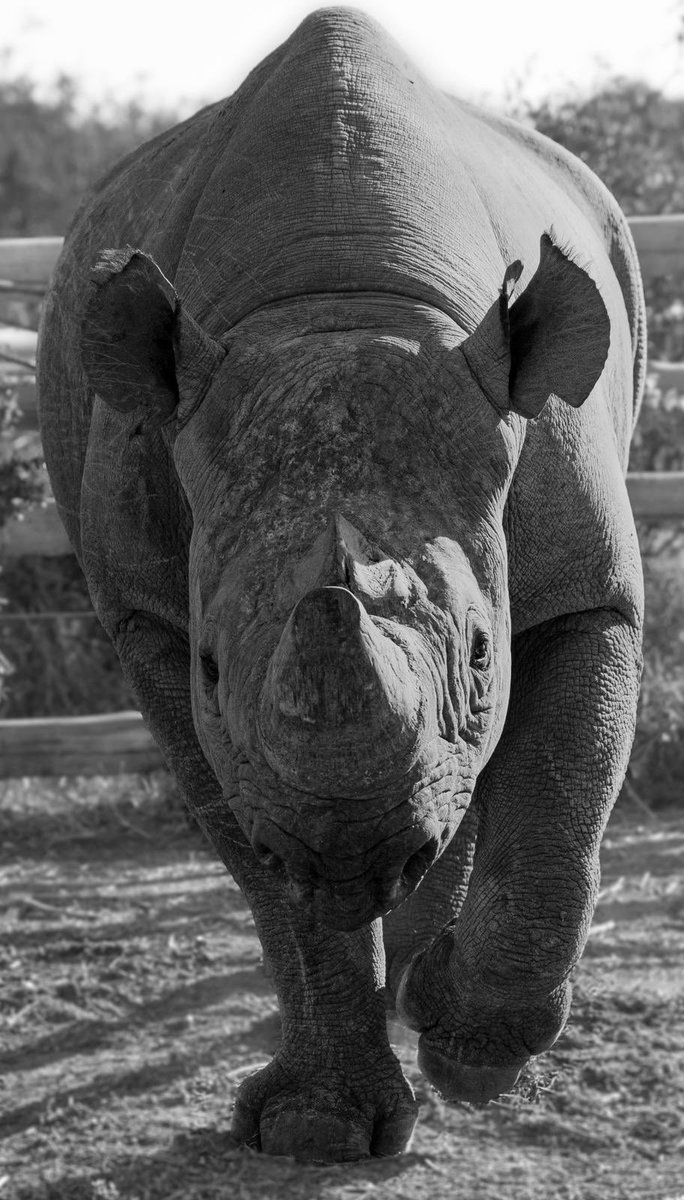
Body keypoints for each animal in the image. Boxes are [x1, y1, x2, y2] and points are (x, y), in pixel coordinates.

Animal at [38, 7, 645, 1163]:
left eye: (486, 657)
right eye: (210, 669)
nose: (350, 853)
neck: (342, 304)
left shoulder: (582, 572)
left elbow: (561, 791)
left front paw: (471, 1056)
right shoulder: (148, 613)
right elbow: (258, 857)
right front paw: (316, 1130)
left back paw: (425, 976)